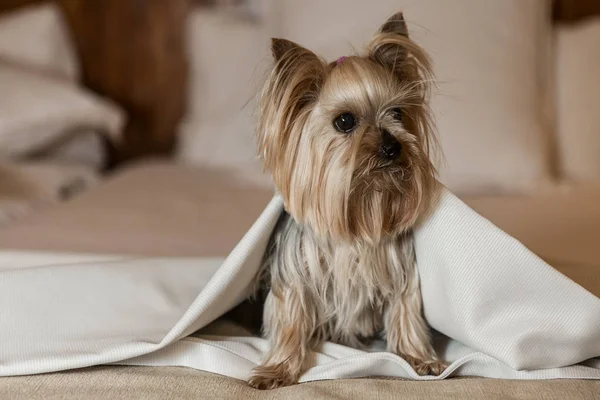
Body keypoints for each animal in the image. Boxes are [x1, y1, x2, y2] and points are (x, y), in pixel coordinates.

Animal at [247, 11, 446, 388]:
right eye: (344, 121)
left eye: (398, 113)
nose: (392, 146)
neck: (359, 213)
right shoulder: (295, 276)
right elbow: (291, 318)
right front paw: (277, 369)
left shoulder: (400, 272)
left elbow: (406, 310)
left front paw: (419, 359)